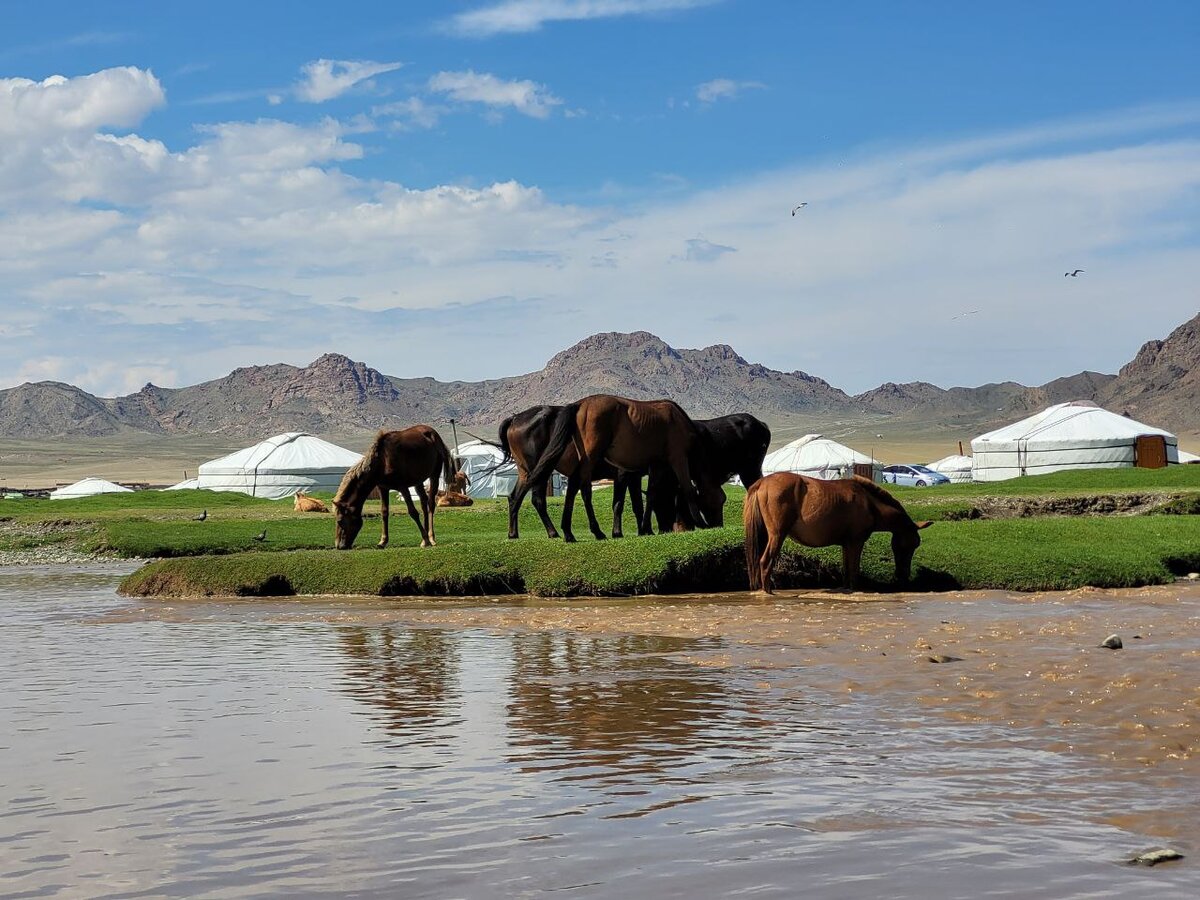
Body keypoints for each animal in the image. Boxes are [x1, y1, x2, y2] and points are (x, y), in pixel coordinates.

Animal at [523, 393, 710, 542]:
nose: (667, 528)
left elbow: (649, 496)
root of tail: (580, 404)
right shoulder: (678, 458)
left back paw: (569, 533)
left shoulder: (656, 466)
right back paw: (595, 531)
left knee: (574, 487)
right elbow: (688, 489)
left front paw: (645, 529)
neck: (678, 420)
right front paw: (702, 522)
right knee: (584, 490)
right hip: (590, 457)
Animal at [744, 475, 931, 595]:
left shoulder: (846, 544)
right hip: (777, 535)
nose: (903, 574)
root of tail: (762, 482)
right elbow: (854, 569)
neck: (870, 504)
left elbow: (846, 569)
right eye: (912, 544)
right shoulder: (856, 542)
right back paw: (768, 592)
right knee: (765, 561)